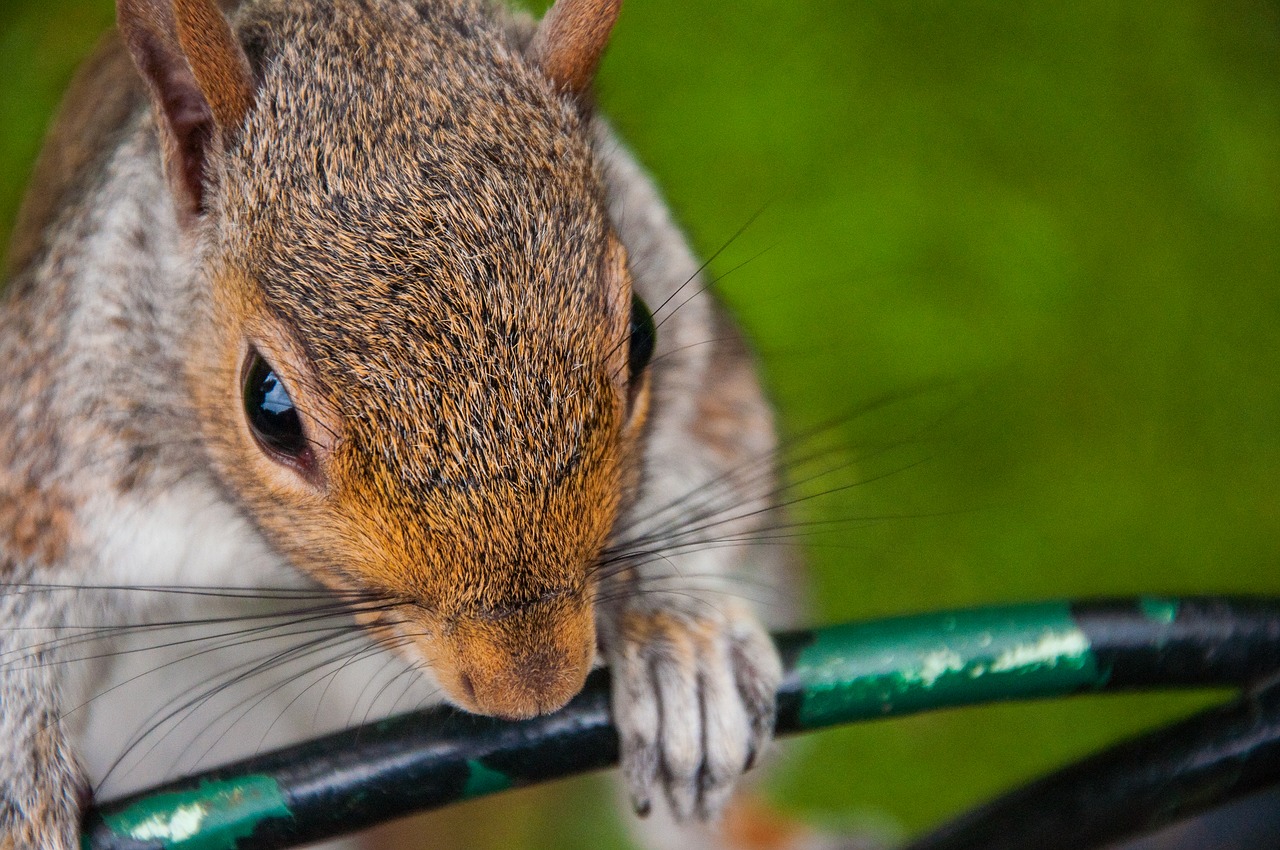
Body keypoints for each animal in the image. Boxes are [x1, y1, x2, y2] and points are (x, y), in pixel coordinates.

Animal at [0, 0, 793, 844]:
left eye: (643, 334)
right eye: (268, 407)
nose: (530, 687)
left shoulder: (697, 350)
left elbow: (712, 446)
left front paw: (683, 639)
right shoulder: (59, 426)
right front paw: (17, 783)